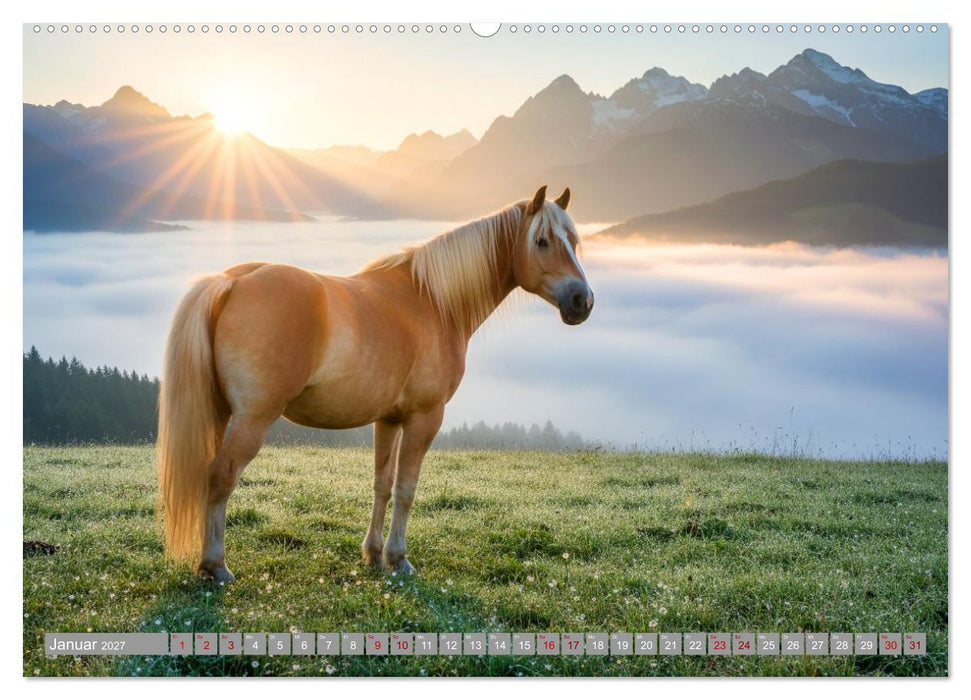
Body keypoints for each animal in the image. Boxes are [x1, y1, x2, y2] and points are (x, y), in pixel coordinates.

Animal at [156, 185, 594, 583]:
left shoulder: (389, 420)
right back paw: (215, 565)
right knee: (221, 476)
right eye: (541, 241)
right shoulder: (424, 418)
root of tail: (231, 282)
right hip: (253, 418)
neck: (433, 301)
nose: (582, 301)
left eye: (573, 241)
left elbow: (382, 484)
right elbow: (406, 488)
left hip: (220, 414)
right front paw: (398, 558)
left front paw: (372, 552)